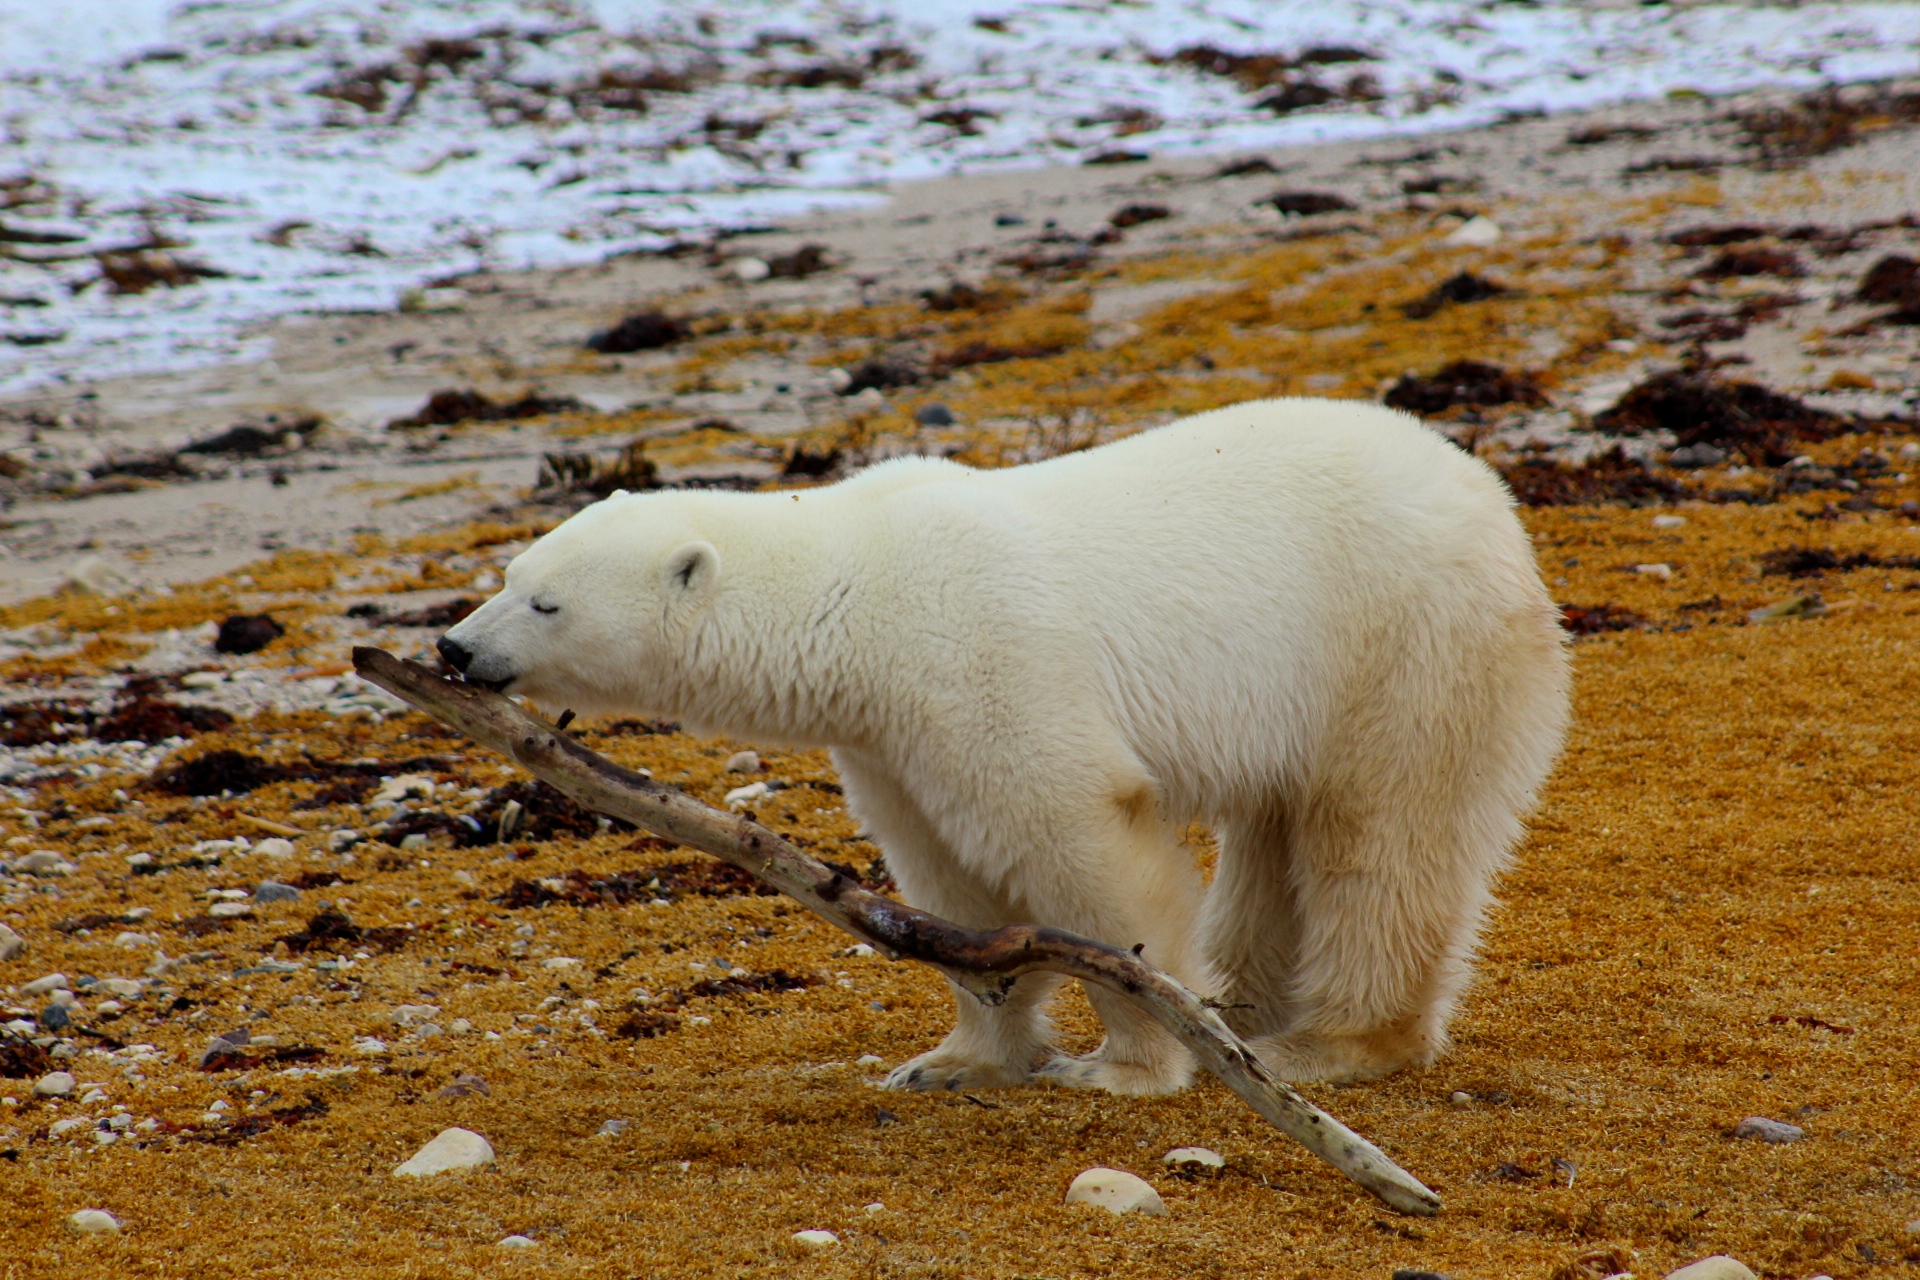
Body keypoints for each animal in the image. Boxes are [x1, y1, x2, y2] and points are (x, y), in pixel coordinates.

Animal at [441, 397, 1566, 1090]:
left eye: (544, 601)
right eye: (510, 573)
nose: (453, 645)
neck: (860, 581)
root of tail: (1492, 497)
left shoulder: (981, 654)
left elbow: (1078, 839)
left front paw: (1125, 1063)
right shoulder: (889, 738)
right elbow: (952, 884)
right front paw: (953, 1058)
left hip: (1397, 643)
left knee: (1381, 835)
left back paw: (1327, 1043)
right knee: (1277, 831)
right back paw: (1242, 1005)